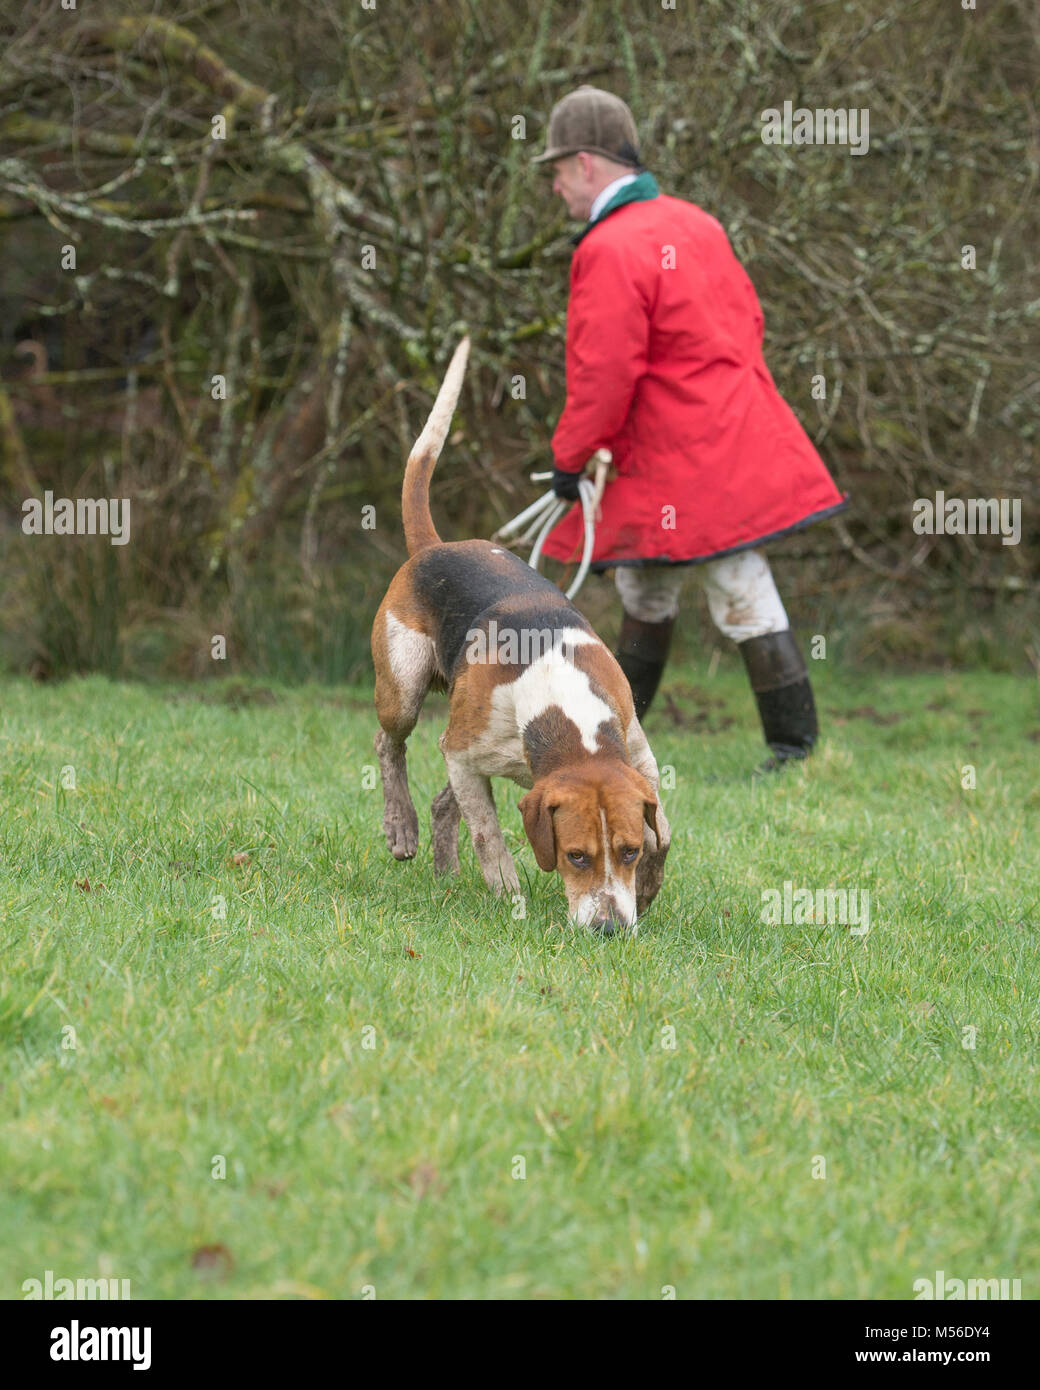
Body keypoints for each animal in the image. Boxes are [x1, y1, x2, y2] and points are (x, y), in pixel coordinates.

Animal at [369, 336, 670, 934]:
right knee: (390, 745)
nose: (609, 929)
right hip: (404, 689)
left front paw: (648, 887)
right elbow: (488, 834)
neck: (562, 702)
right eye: (576, 856)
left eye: (627, 851)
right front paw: (508, 893)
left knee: (445, 803)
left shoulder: (638, 753)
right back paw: (401, 825)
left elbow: (664, 833)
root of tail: (434, 547)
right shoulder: (462, 753)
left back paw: (444, 871)